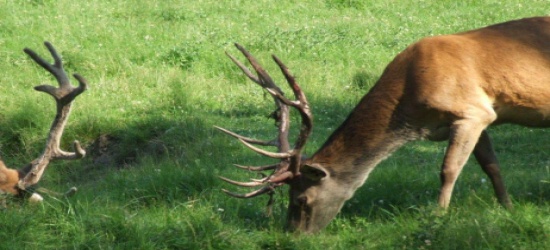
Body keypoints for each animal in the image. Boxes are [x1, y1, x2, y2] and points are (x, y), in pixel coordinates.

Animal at [218, 16, 550, 233]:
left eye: (302, 198)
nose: (291, 234)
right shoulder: (478, 117)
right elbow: (492, 166)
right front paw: (507, 209)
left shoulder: (472, 112)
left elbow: (448, 170)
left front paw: (437, 218)